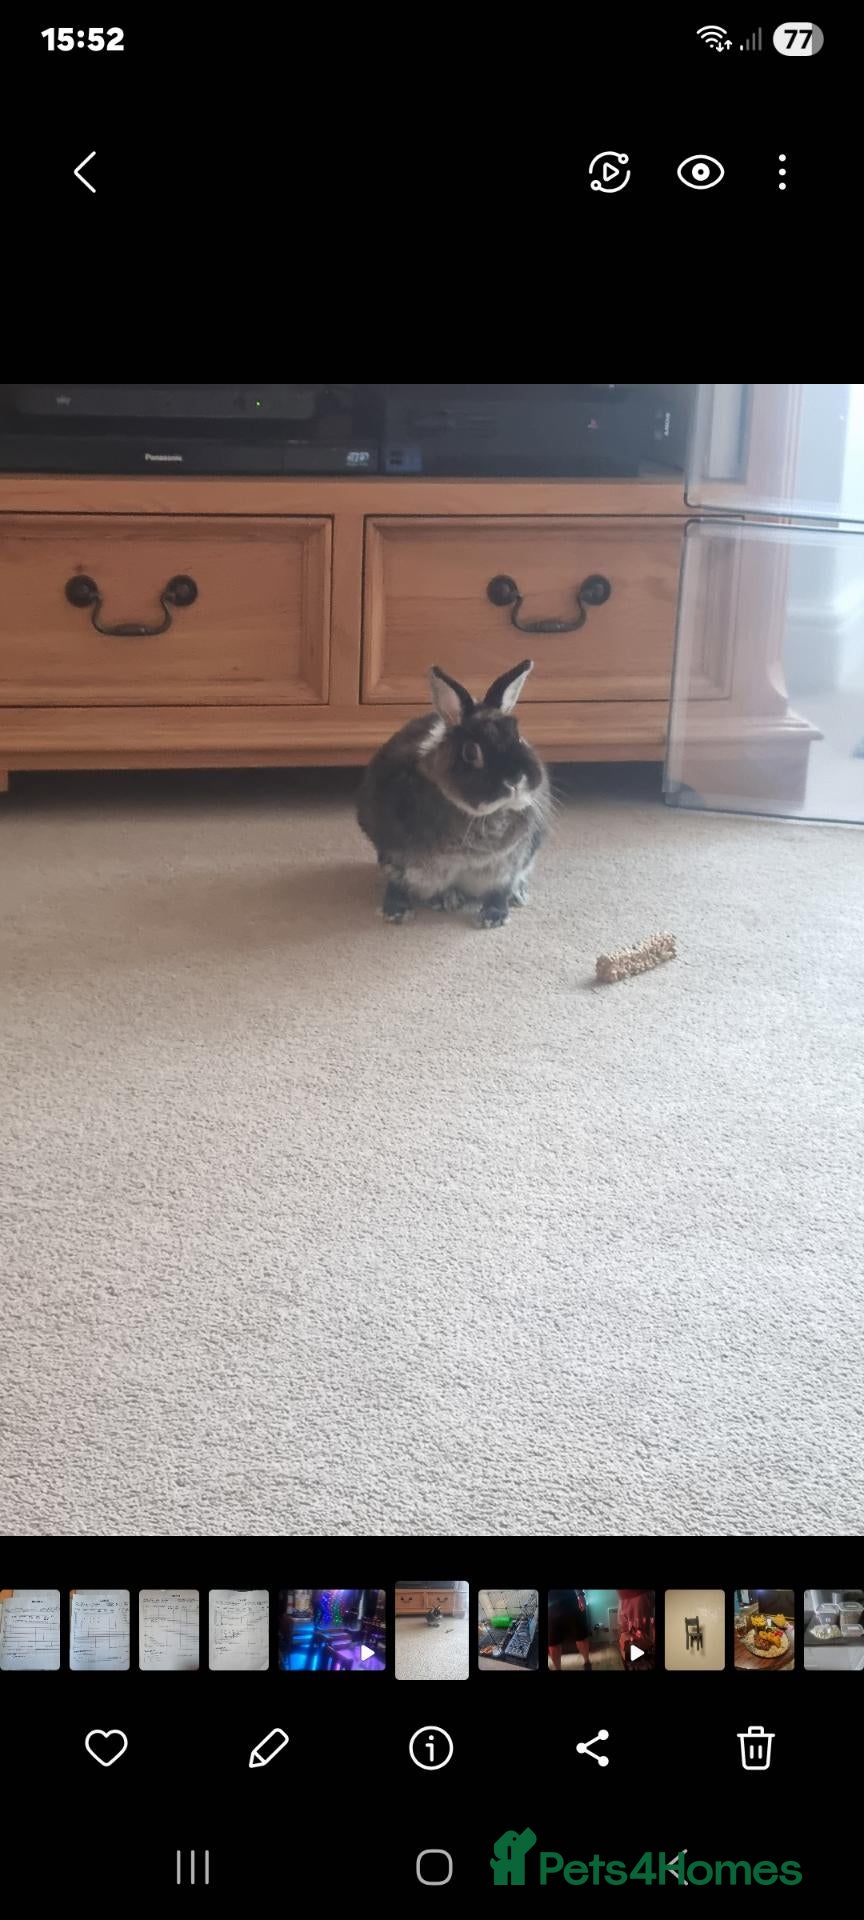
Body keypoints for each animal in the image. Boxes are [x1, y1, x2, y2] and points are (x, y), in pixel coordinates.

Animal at [356, 657, 550, 927]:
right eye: (470, 752)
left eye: (519, 738)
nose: (514, 780)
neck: (484, 817)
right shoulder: (400, 857)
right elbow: (399, 883)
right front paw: (397, 911)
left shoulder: (507, 863)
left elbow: (499, 889)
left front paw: (494, 916)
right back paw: (442, 899)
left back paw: (517, 895)